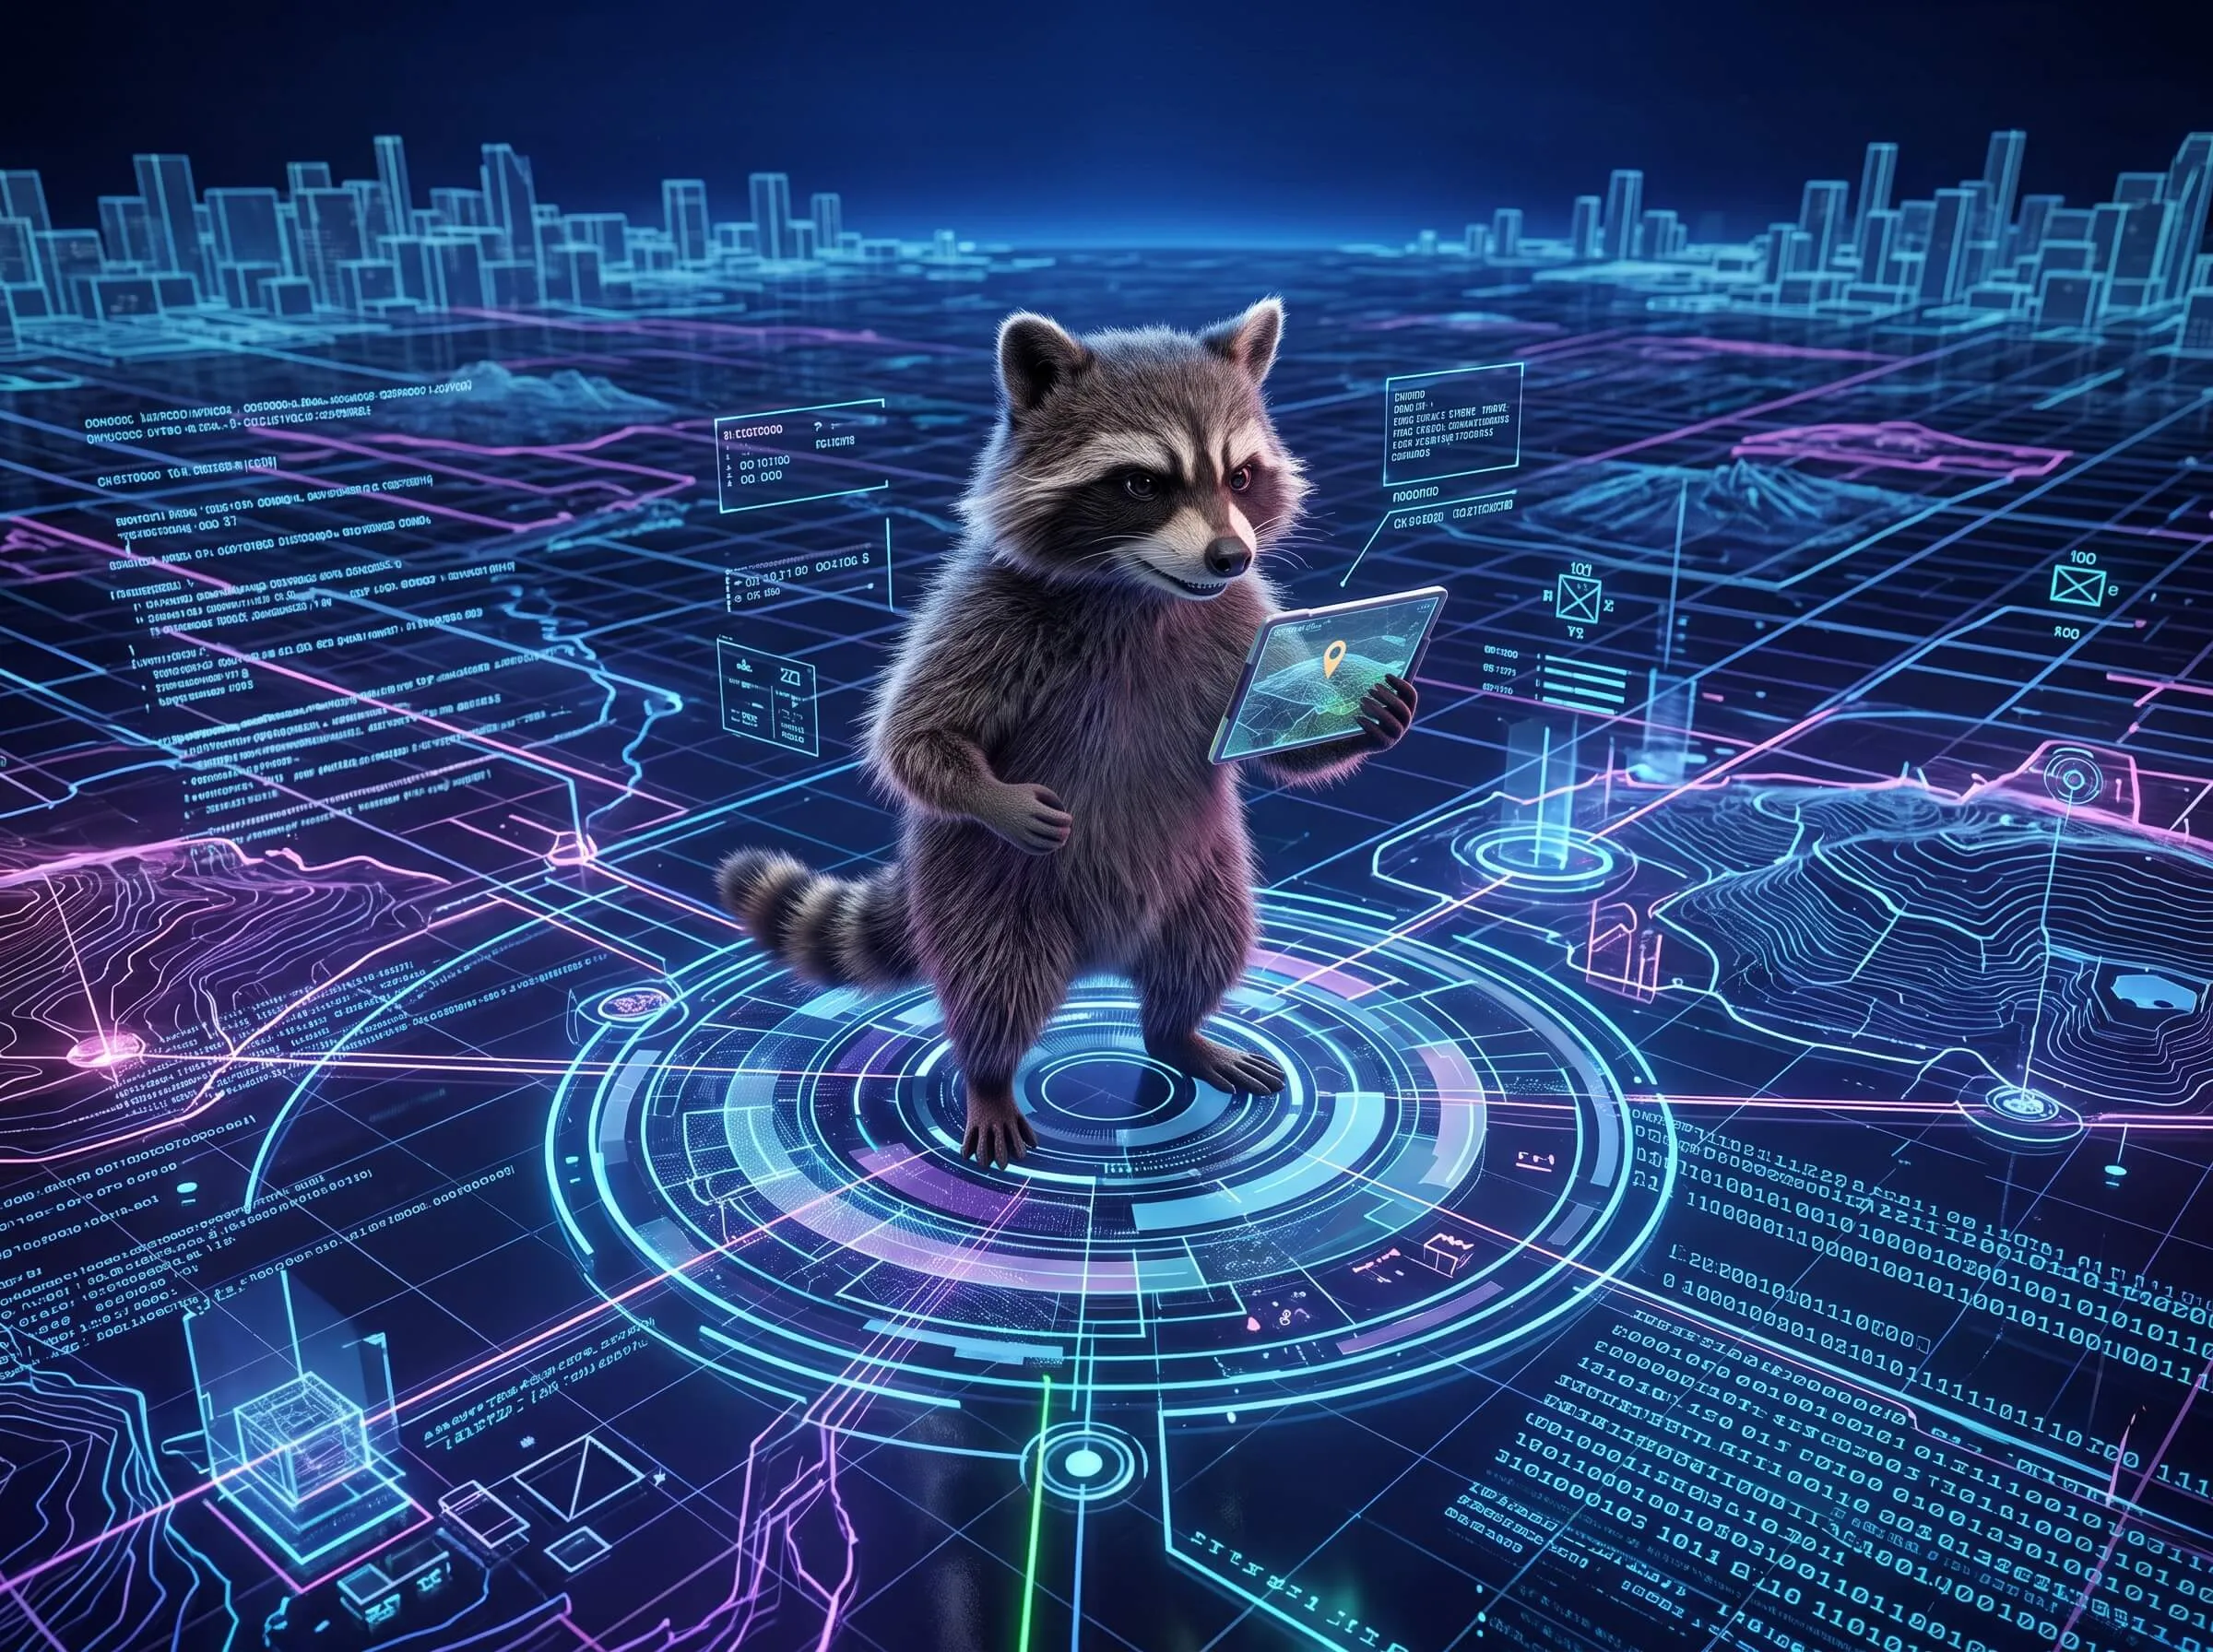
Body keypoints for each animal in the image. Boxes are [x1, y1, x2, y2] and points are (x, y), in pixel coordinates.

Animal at [717, 297, 1416, 1166]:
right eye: (1142, 483)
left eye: (1240, 476)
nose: (1230, 555)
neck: (1139, 589)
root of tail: (1102, 956)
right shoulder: (986, 610)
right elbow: (913, 736)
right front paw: (994, 795)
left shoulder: (1242, 616)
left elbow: (1281, 736)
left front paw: (1368, 716)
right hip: (982, 893)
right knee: (994, 986)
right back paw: (989, 1074)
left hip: (1206, 876)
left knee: (1206, 950)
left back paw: (1180, 1030)